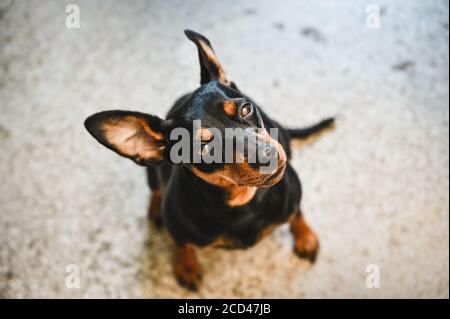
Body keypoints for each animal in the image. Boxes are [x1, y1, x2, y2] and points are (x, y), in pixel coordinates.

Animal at [84, 29, 332, 290]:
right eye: (204, 148)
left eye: (245, 109)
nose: (268, 156)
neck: (242, 203)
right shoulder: (178, 228)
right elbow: (182, 243)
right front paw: (187, 266)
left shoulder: (294, 193)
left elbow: (298, 213)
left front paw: (305, 236)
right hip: (151, 172)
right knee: (156, 189)